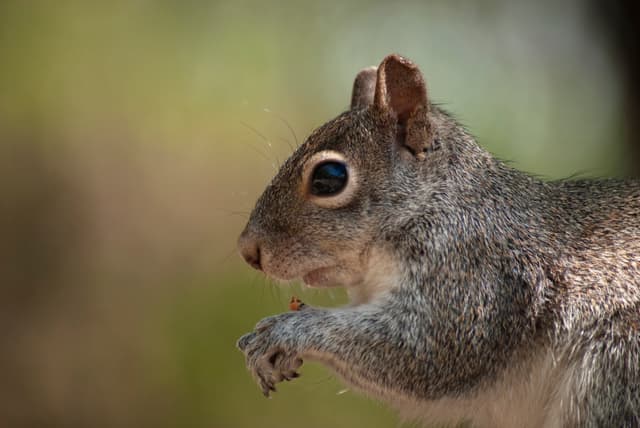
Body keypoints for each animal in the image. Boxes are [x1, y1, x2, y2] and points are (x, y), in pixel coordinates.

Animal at [235, 55, 640, 426]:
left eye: (329, 177)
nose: (248, 250)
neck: (433, 203)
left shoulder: (474, 273)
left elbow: (425, 352)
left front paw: (287, 331)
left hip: (614, 368)